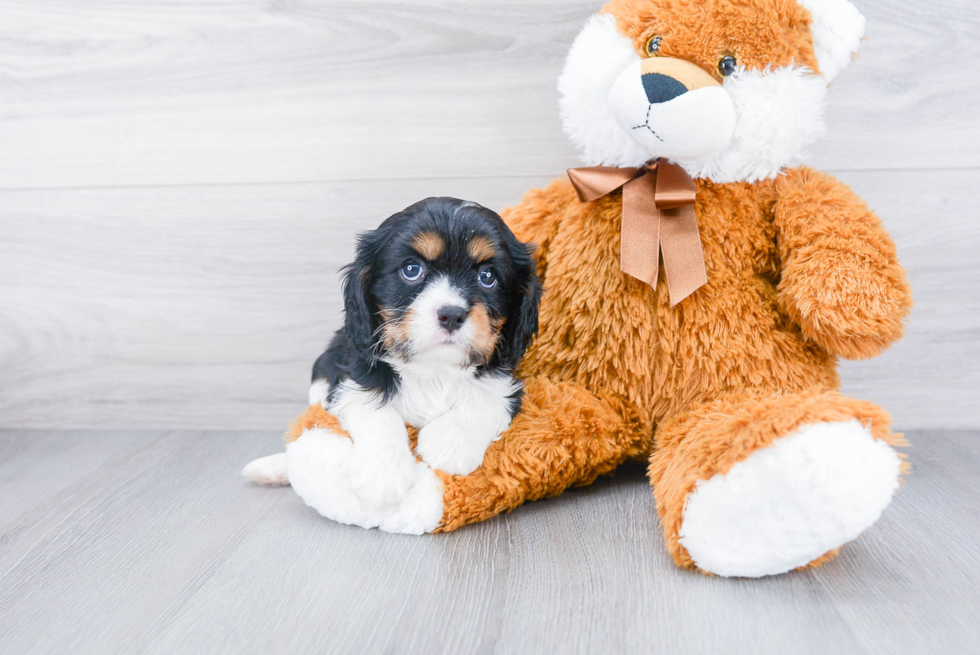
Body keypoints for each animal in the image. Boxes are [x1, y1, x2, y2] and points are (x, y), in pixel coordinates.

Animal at [242, 197, 540, 510]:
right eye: (411, 269)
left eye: (487, 277)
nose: (452, 314)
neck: (434, 368)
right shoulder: (352, 376)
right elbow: (376, 409)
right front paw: (382, 475)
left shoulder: (507, 381)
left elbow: (485, 397)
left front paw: (449, 443)